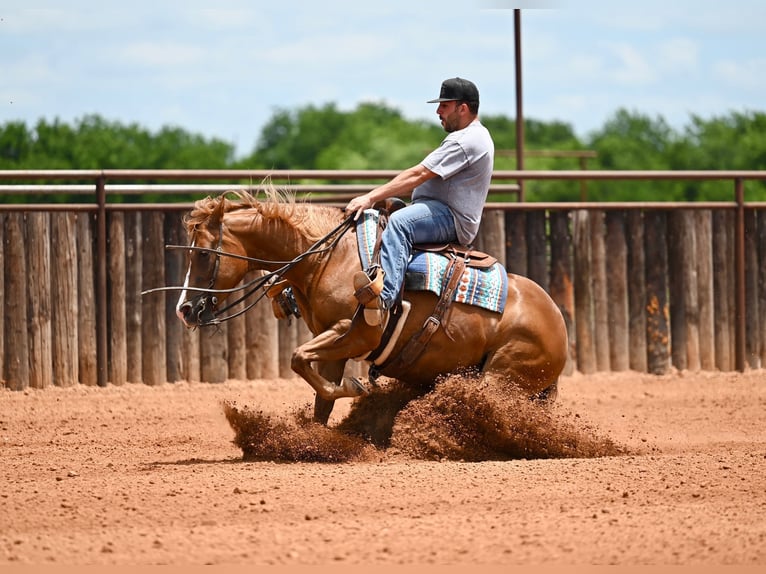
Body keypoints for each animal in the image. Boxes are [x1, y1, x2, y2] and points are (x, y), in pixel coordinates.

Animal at [172, 189, 568, 425]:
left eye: (203, 254)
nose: (184, 310)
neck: (326, 258)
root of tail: (559, 325)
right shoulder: (331, 345)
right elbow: (318, 392)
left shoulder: (354, 335)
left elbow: (299, 358)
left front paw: (357, 388)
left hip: (500, 378)